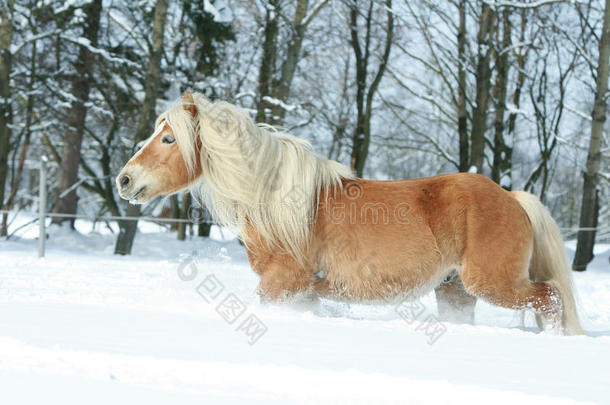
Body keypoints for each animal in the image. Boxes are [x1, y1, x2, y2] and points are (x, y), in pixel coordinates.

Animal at [116, 91, 580, 334]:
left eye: (169, 138)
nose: (124, 179)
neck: (276, 201)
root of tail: (513, 198)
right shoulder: (303, 293)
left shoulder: (285, 281)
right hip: (455, 290)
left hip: (493, 282)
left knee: (550, 297)